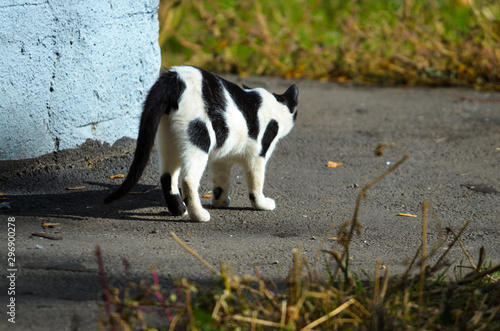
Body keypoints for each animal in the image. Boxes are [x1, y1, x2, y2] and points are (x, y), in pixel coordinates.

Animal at [102, 66, 296, 222]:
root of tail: (174, 77)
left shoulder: (221, 159)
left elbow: (220, 183)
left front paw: (220, 202)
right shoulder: (257, 156)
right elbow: (256, 184)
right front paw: (262, 204)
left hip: (168, 140)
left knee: (167, 176)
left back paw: (179, 210)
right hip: (199, 139)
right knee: (188, 180)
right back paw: (199, 215)